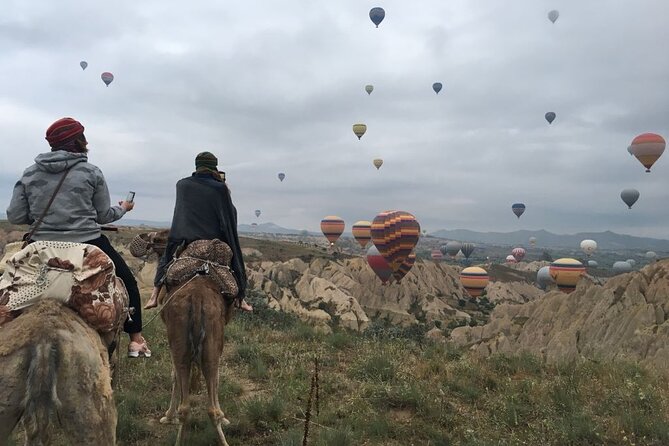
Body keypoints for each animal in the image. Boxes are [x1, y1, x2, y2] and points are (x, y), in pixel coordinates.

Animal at [159, 276, 235, 446]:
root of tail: (197, 298)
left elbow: (175, 376)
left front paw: (168, 416)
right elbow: (217, 379)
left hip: (180, 340)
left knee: (185, 406)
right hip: (211, 341)